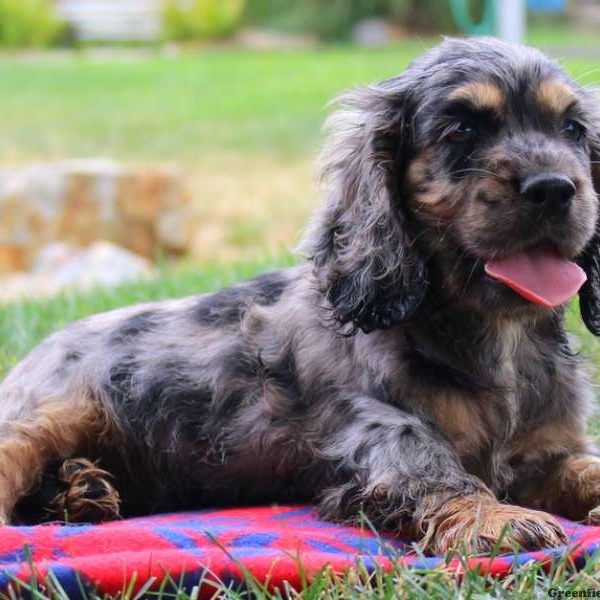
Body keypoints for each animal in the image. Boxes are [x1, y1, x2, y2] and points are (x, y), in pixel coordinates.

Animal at [1, 36, 600, 552]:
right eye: (461, 130)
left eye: (572, 129)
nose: (554, 188)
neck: (498, 337)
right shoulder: (376, 430)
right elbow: (431, 466)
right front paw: (495, 518)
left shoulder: (549, 451)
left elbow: (584, 466)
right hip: (52, 415)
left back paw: (81, 489)